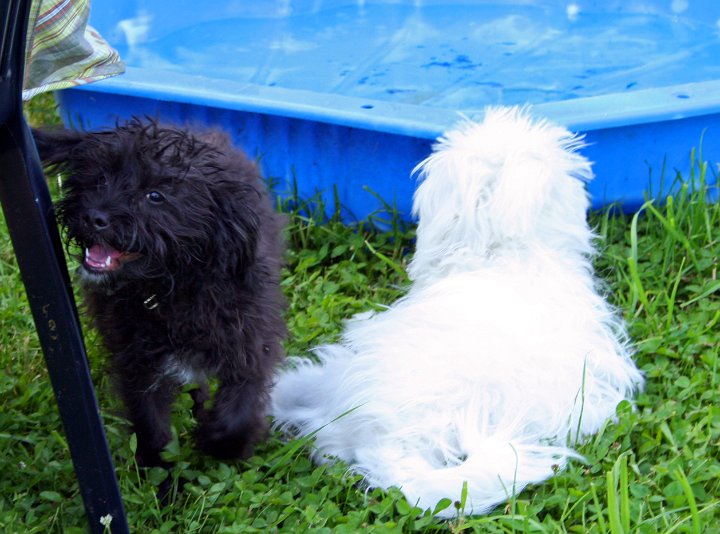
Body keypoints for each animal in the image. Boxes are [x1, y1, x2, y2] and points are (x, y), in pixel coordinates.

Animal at [33, 118, 286, 473]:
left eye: (155, 195)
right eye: (101, 178)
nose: (93, 217)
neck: (172, 287)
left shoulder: (250, 339)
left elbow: (240, 405)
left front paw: (221, 443)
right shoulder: (136, 359)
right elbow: (149, 421)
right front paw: (160, 473)